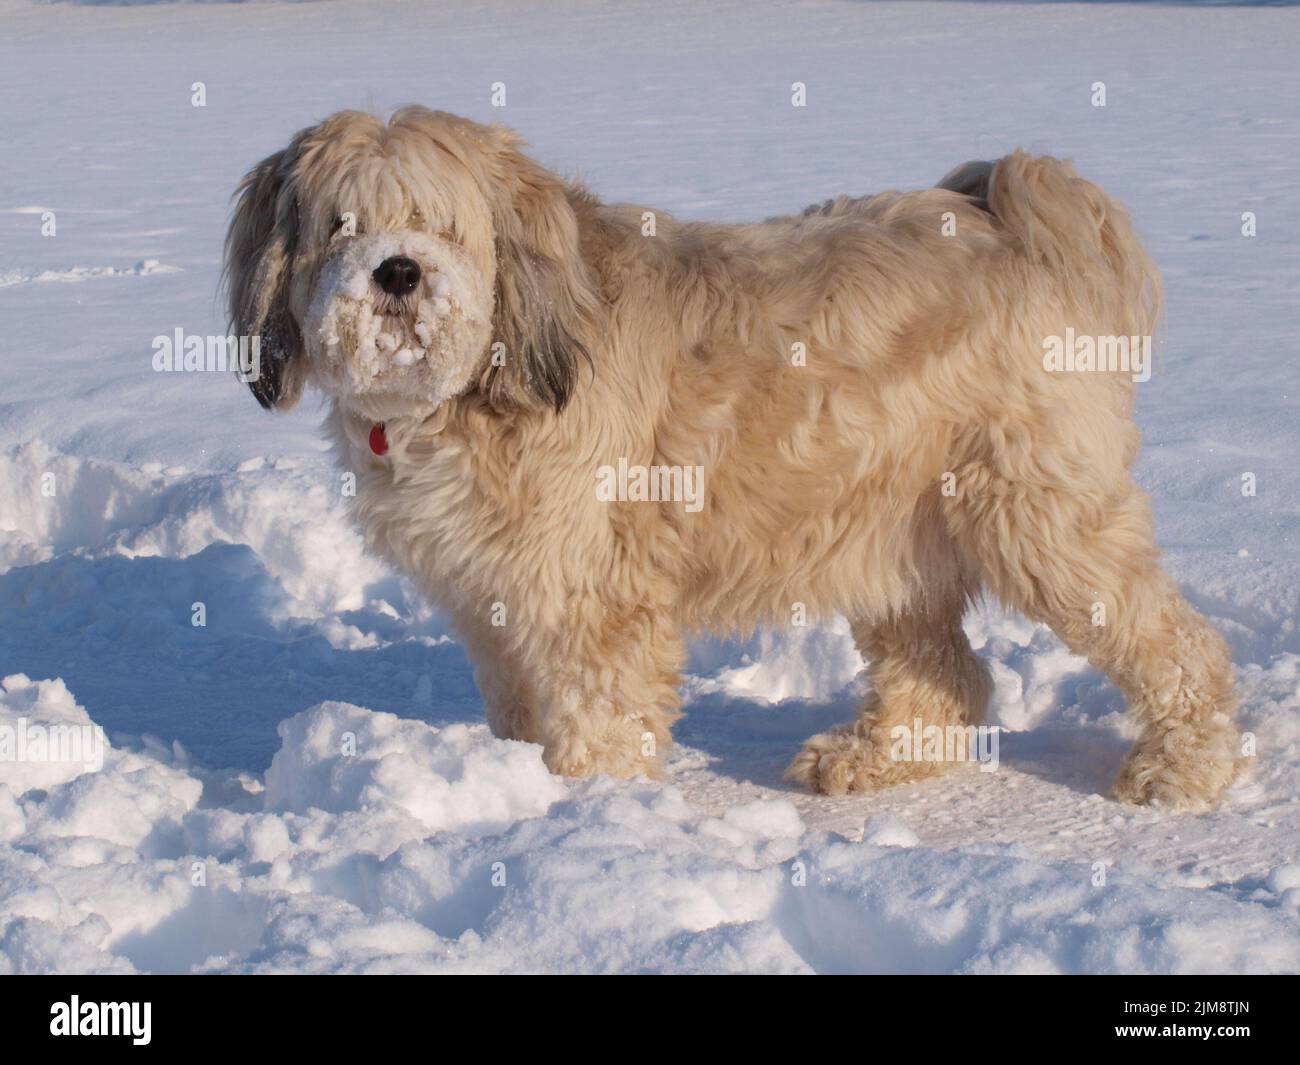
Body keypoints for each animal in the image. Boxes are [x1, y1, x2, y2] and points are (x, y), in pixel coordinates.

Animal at [223, 105, 1237, 806]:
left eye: (440, 223)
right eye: (340, 224)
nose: (398, 272)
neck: (490, 372)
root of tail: (1018, 214)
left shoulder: (593, 588)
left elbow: (601, 707)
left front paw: (583, 807)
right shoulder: (496, 599)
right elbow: (518, 700)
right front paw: (518, 783)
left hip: (1039, 514)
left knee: (1175, 640)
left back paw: (1185, 766)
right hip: (891, 530)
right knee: (945, 674)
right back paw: (872, 757)